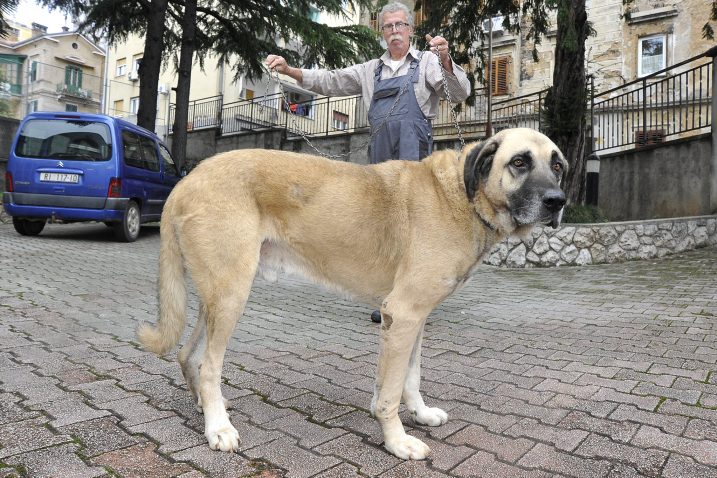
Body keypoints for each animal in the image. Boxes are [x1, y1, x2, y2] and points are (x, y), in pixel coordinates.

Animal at [138, 127, 564, 460]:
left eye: (557, 165)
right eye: (520, 162)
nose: (558, 202)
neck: (461, 194)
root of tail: (186, 180)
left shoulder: (413, 319)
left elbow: (408, 377)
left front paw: (420, 415)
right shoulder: (403, 313)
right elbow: (390, 393)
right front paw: (396, 441)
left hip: (218, 295)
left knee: (187, 354)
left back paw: (208, 407)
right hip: (231, 295)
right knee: (209, 365)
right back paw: (218, 427)